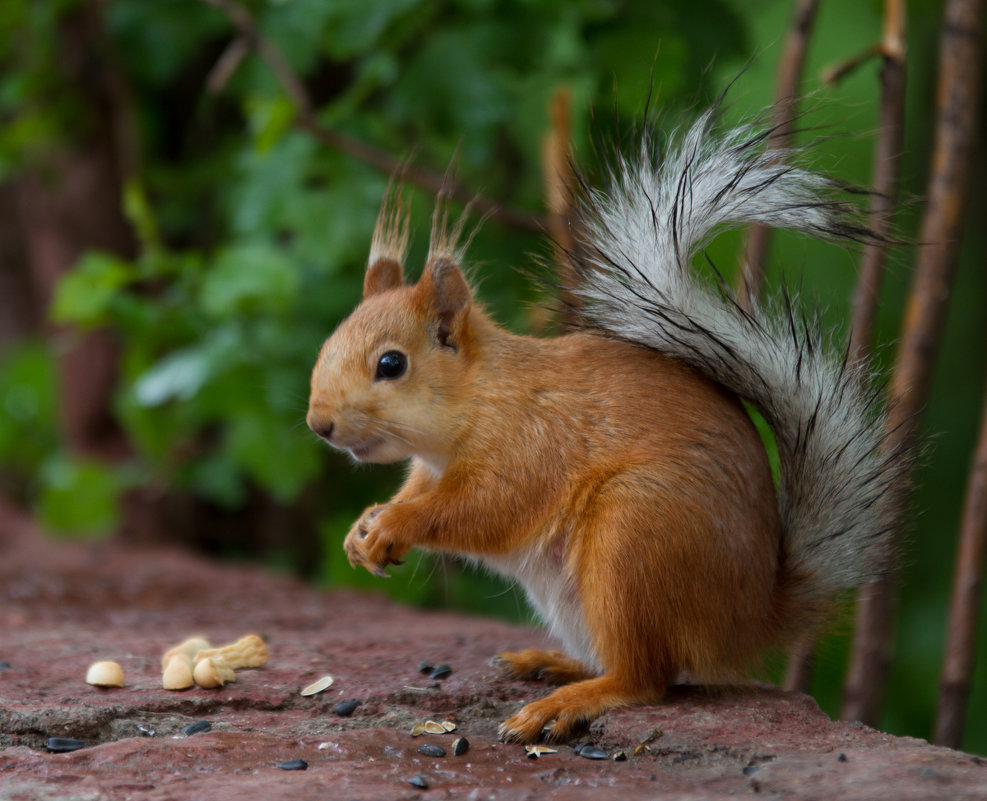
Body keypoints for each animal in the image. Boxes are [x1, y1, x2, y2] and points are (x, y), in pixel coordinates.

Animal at [304, 104, 908, 744]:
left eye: (391, 364)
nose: (319, 423)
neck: (477, 402)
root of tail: (749, 621)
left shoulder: (528, 447)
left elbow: (481, 510)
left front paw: (398, 522)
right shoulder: (429, 468)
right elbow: (419, 492)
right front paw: (364, 528)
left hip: (633, 536)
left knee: (646, 678)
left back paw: (567, 703)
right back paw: (550, 663)